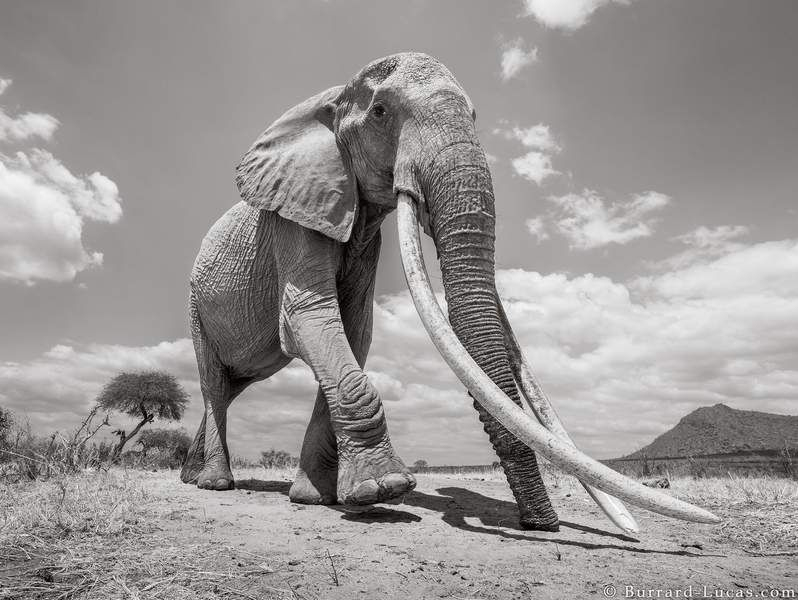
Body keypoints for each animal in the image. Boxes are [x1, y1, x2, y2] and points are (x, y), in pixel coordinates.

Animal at [183, 50, 724, 528]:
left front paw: (317, 499)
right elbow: (310, 319)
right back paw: (214, 484)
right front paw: (384, 490)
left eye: (476, 115)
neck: (329, 99)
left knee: (231, 386)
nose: (539, 524)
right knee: (215, 382)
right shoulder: (293, 219)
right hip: (194, 305)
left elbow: (353, 333)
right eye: (381, 112)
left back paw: (193, 476)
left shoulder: (364, 235)